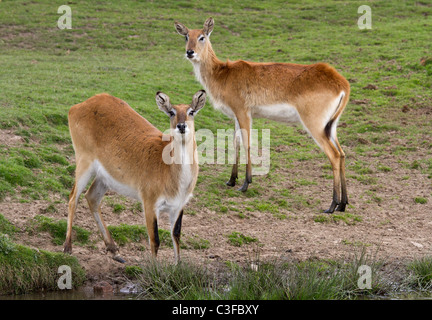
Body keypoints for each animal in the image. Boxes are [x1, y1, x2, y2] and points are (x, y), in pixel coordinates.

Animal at [63, 89, 207, 262]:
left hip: (104, 178)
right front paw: (154, 267)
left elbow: (176, 236)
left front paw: (178, 265)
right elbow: (155, 239)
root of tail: (78, 106)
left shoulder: (178, 206)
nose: (181, 126)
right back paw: (67, 247)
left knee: (91, 198)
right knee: (73, 197)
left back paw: (114, 250)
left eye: (191, 111)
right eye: (171, 112)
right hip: (84, 162)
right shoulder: (149, 204)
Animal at [174, 16, 350, 212]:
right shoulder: (236, 116)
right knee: (342, 154)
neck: (223, 74)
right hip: (331, 126)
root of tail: (341, 83)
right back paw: (343, 204)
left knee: (334, 155)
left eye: (202, 37)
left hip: (315, 126)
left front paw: (245, 184)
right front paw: (231, 180)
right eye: (186, 36)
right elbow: (235, 143)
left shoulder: (243, 112)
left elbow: (247, 143)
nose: (190, 52)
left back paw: (332, 205)